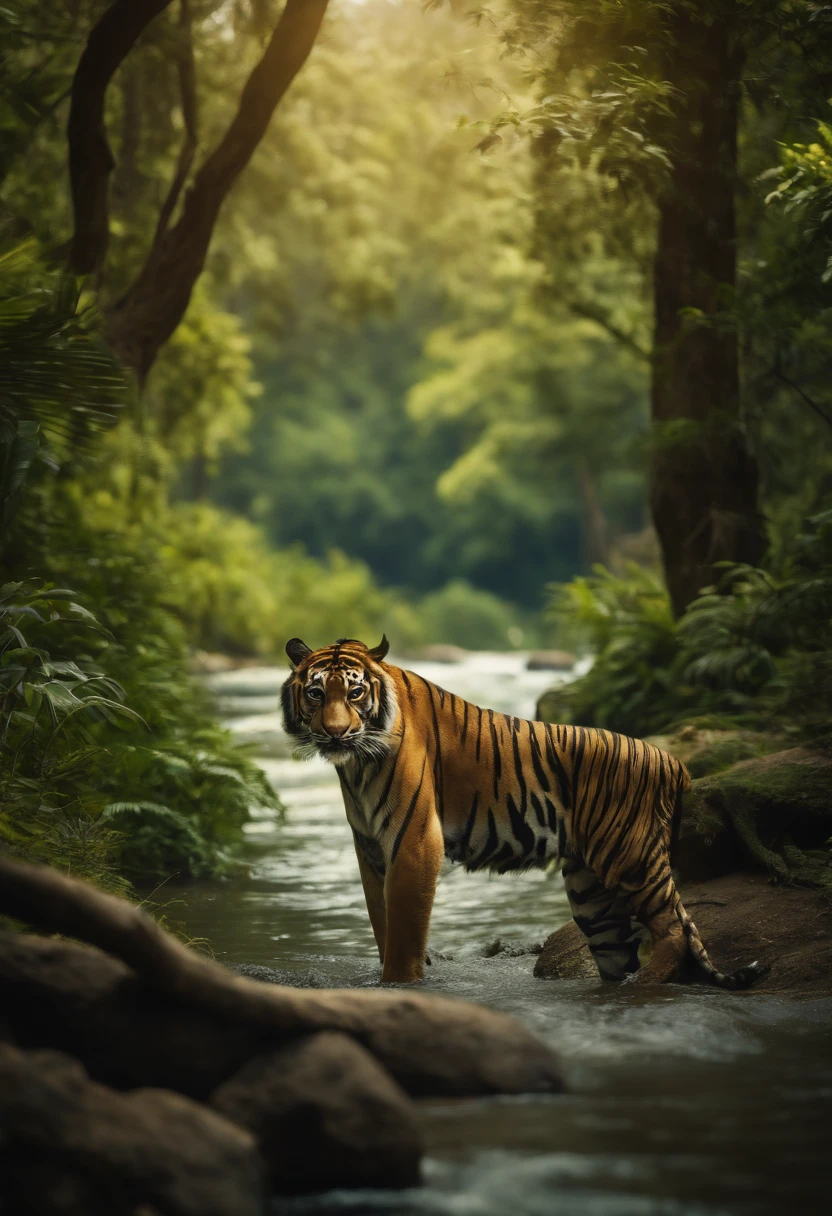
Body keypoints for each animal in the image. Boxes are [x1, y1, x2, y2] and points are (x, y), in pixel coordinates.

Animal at [279, 637, 768, 987]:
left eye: (356, 692)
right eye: (316, 693)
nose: (335, 733)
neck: (357, 766)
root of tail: (673, 760)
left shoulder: (414, 842)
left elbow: (403, 937)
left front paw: (399, 987)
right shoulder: (371, 851)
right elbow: (382, 925)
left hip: (631, 857)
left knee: (673, 930)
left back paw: (647, 984)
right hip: (592, 894)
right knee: (621, 949)